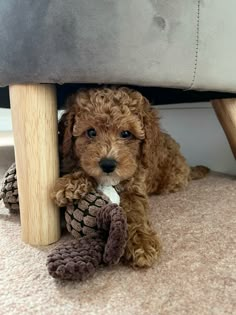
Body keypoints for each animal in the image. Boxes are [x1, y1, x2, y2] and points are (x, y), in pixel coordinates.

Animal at [52, 87, 207, 270]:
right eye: (91, 132)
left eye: (126, 133)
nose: (108, 164)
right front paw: (69, 184)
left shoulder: (135, 187)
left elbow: (135, 213)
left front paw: (142, 243)